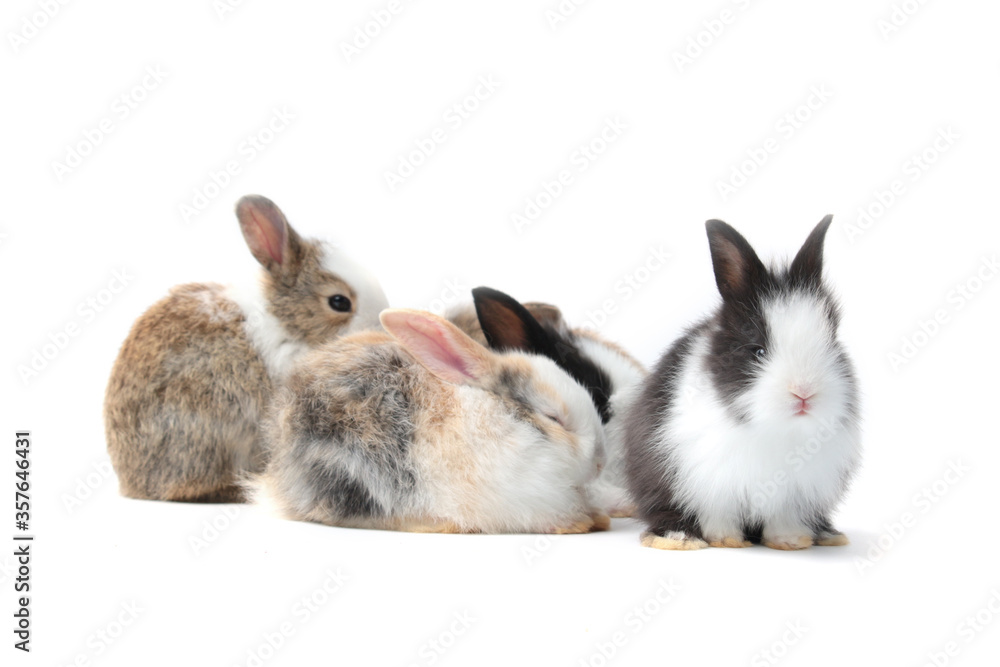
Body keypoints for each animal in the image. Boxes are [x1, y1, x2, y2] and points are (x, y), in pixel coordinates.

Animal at [625, 215, 861, 550]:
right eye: (757, 350)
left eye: (831, 342)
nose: (804, 393)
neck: (776, 428)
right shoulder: (708, 477)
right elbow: (717, 512)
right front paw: (725, 539)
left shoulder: (794, 492)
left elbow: (783, 518)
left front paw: (790, 541)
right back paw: (679, 538)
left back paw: (828, 535)